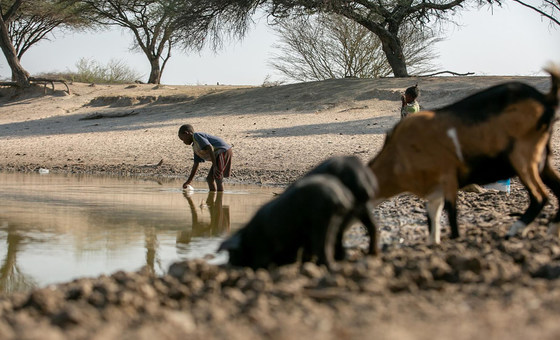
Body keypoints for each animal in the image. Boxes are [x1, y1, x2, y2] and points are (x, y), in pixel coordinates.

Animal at [368, 67, 560, 243]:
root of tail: (543, 98)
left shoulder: (448, 178)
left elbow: (452, 215)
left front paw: (454, 241)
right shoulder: (435, 190)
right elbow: (433, 218)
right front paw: (433, 244)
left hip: (522, 158)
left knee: (540, 196)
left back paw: (515, 230)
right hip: (542, 160)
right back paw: (550, 231)